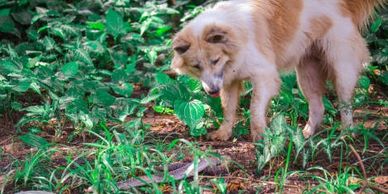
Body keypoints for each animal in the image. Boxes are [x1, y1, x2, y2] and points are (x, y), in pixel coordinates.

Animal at [172, 0, 384, 141]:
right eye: (196, 66)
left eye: (215, 60)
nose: (212, 91)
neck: (236, 37)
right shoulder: (230, 82)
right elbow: (229, 110)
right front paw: (224, 133)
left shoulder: (265, 77)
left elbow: (255, 107)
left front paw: (260, 135)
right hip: (307, 75)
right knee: (318, 106)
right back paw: (306, 133)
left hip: (341, 69)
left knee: (345, 104)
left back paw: (346, 133)